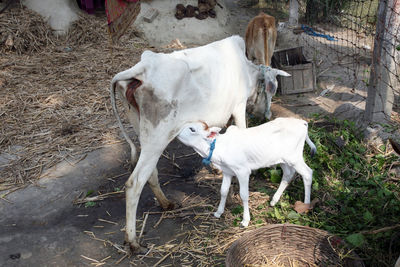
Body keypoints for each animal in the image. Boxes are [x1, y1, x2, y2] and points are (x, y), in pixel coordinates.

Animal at [109, 36, 290, 253]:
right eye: (273, 89)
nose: (267, 114)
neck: (245, 69)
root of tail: (141, 68)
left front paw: (216, 167)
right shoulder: (238, 107)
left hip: (141, 130)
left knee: (150, 174)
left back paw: (166, 203)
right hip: (157, 137)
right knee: (134, 183)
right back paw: (133, 241)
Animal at [178, 118, 316, 227]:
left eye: (192, 129)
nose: (176, 133)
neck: (220, 149)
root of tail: (302, 122)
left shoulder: (243, 171)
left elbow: (243, 195)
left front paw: (245, 220)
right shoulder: (227, 171)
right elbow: (223, 191)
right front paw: (218, 212)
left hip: (294, 157)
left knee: (308, 173)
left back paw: (306, 205)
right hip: (283, 159)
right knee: (288, 174)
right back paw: (274, 200)